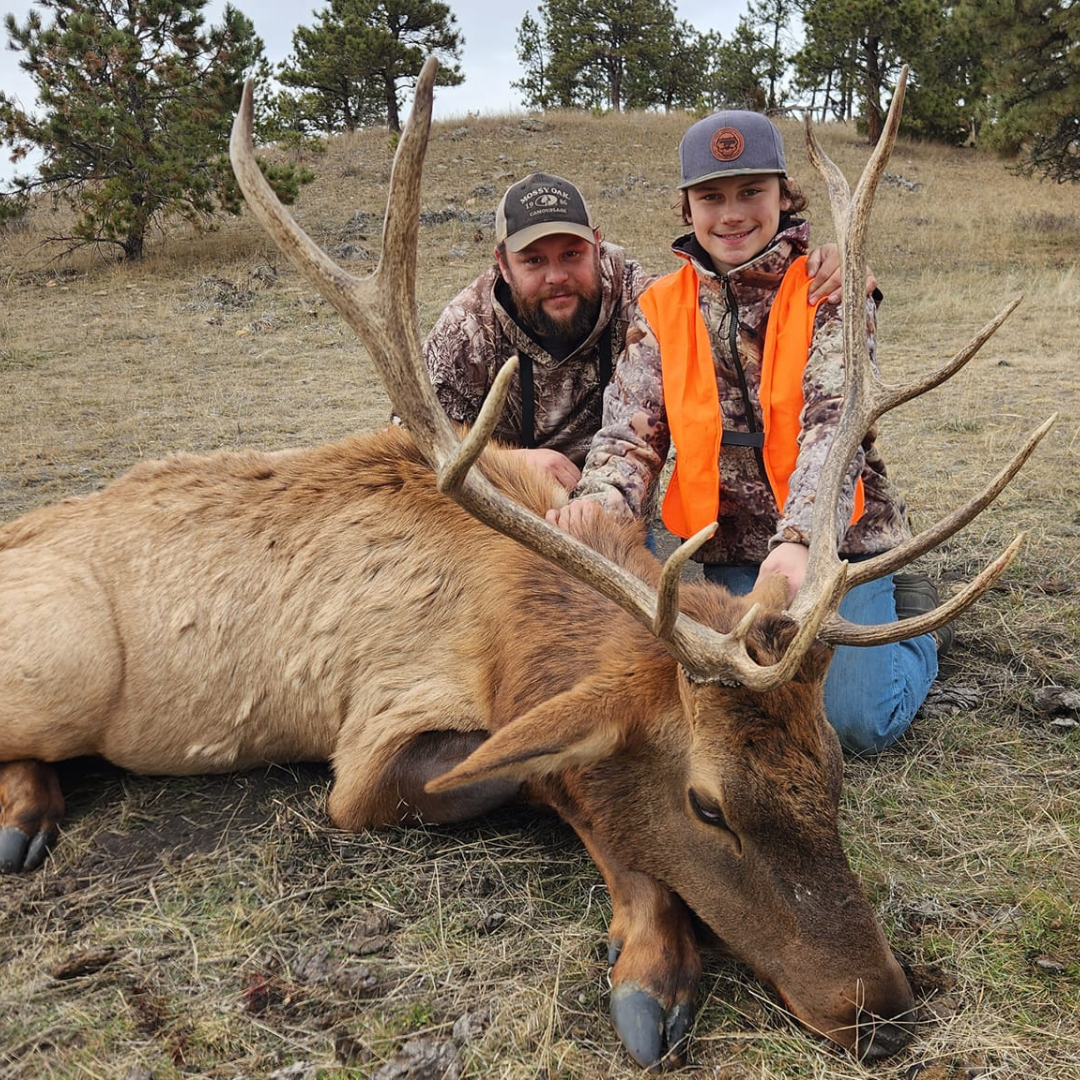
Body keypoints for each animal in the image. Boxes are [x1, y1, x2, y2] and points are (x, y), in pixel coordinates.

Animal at [0, 59, 1045, 1071]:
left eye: (830, 770)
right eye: (707, 806)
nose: (880, 1007)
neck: (512, 621)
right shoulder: (370, 751)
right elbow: (550, 783)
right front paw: (652, 973)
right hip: (68, 661)